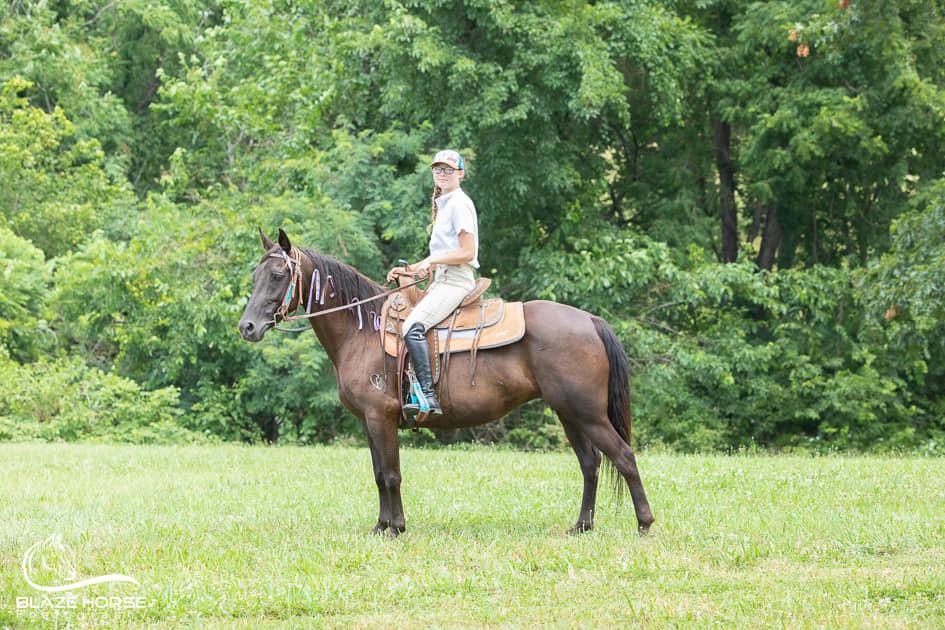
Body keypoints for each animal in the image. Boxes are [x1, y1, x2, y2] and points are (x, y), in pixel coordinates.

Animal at [238, 229, 654, 536]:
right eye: (255, 276)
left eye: (278, 275)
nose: (247, 327)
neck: (363, 331)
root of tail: (590, 321)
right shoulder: (369, 423)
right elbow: (378, 474)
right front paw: (381, 526)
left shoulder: (380, 417)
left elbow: (391, 473)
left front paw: (396, 527)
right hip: (569, 413)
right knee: (591, 463)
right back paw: (582, 526)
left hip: (587, 413)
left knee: (623, 457)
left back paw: (644, 523)